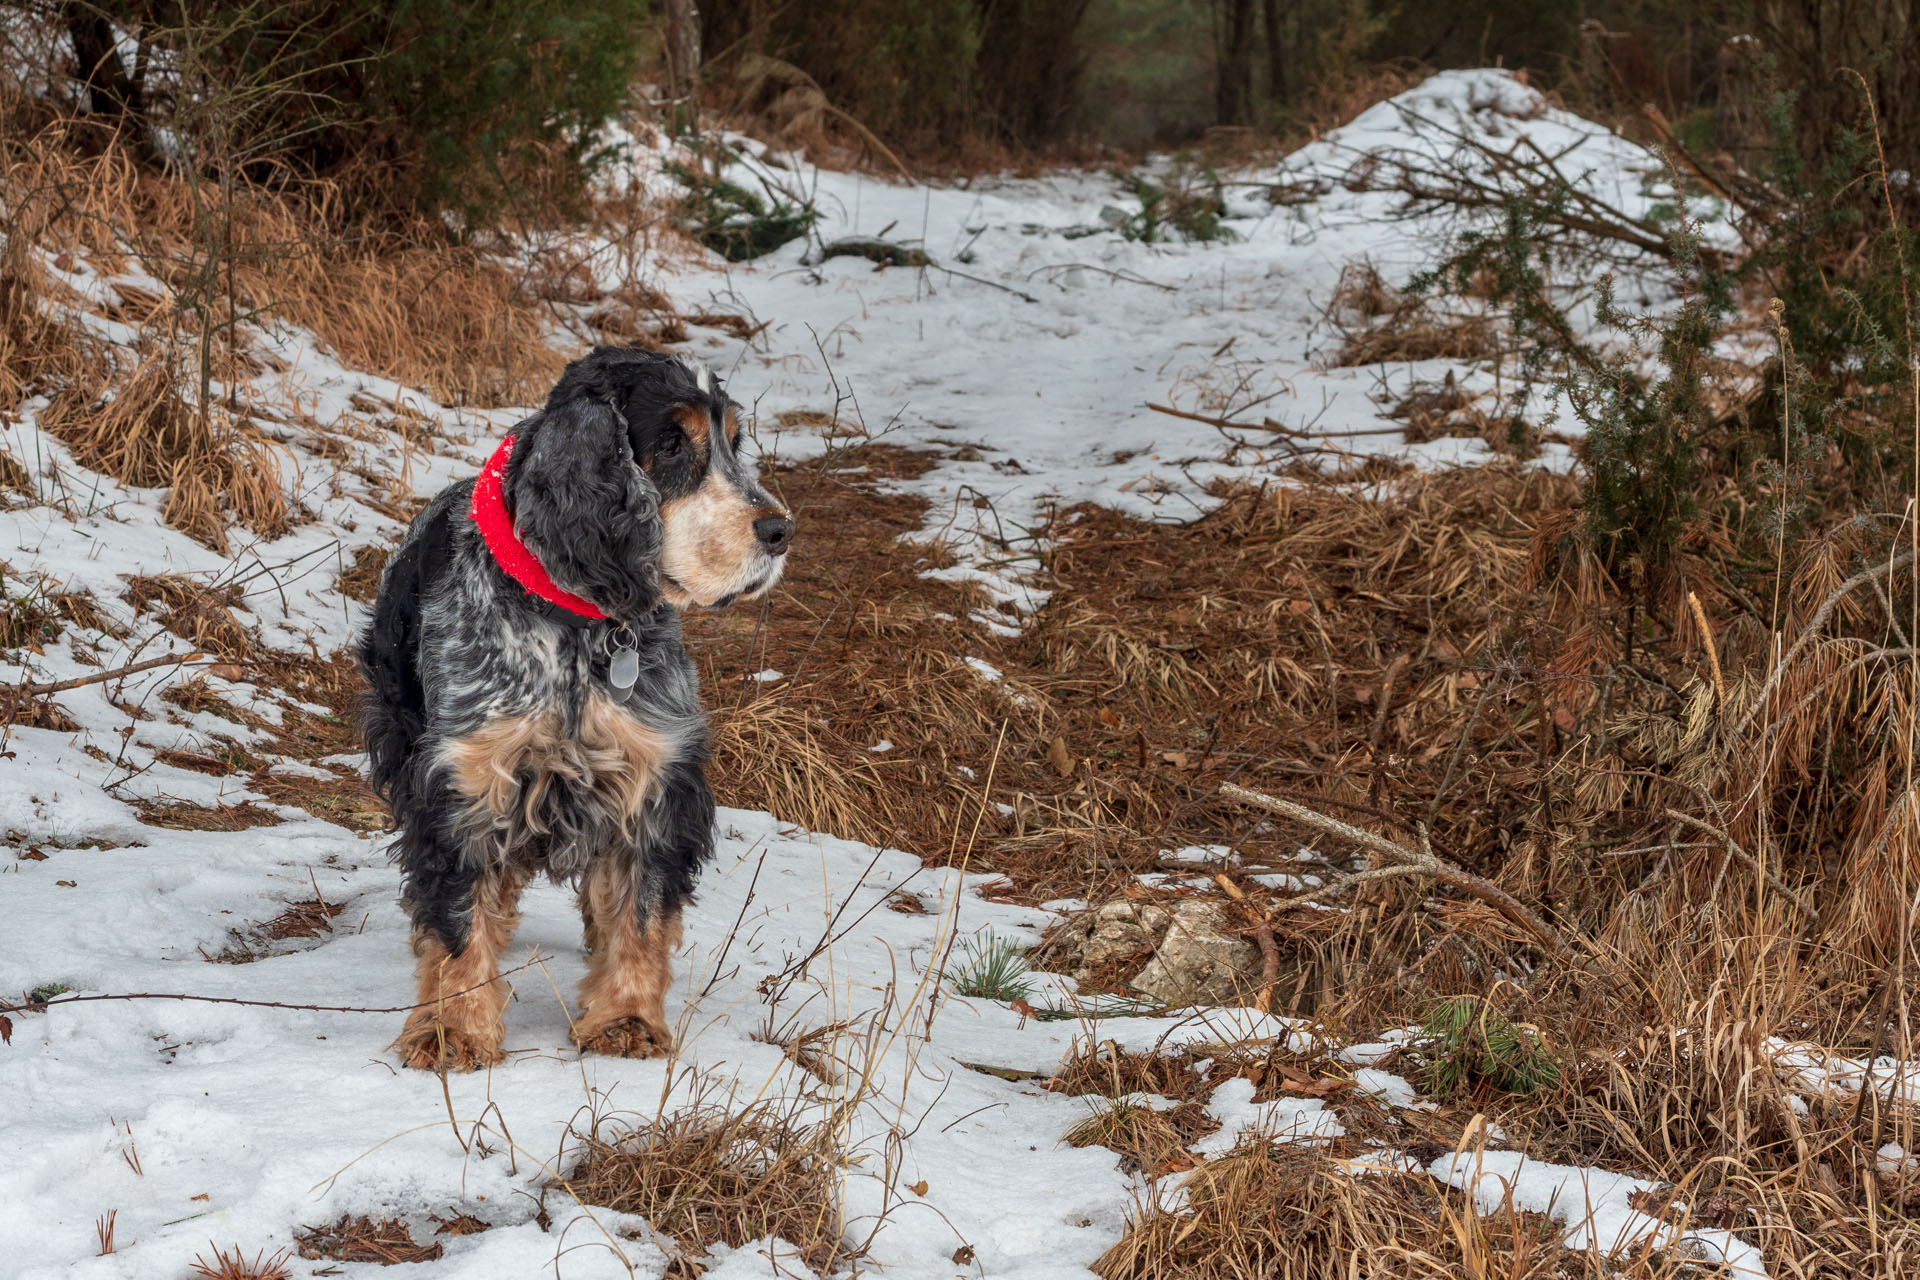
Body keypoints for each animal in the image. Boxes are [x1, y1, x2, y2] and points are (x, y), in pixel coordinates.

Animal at [357, 343, 791, 1074]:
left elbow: (641, 914)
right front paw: (451, 1030)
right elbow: (455, 917)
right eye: (669, 444)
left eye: (734, 445)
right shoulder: (464, 778)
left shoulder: (656, 776)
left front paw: (626, 1021)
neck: (579, 628)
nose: (780, 530)